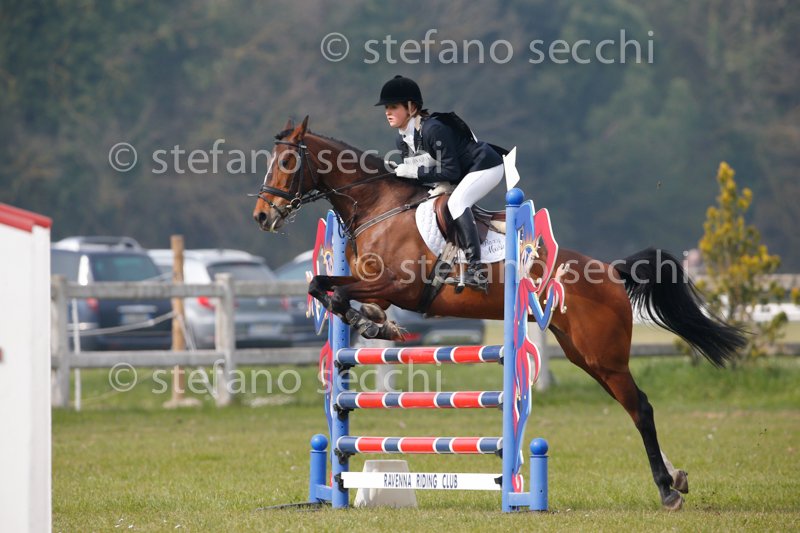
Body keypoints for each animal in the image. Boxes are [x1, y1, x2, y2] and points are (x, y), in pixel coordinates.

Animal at [252, 117, 746, 510]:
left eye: (287, 163)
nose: (262, 216)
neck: (379, 207)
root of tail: (609, 270)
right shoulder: (374, 283)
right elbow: (324, 287)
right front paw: (374, 321)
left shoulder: (401, 285)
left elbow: (330, 291)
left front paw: (366, 321)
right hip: (587, 356)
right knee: (632, 404)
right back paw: (676, 476)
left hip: (603, 354)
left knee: (640, 407)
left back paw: (667, 490)